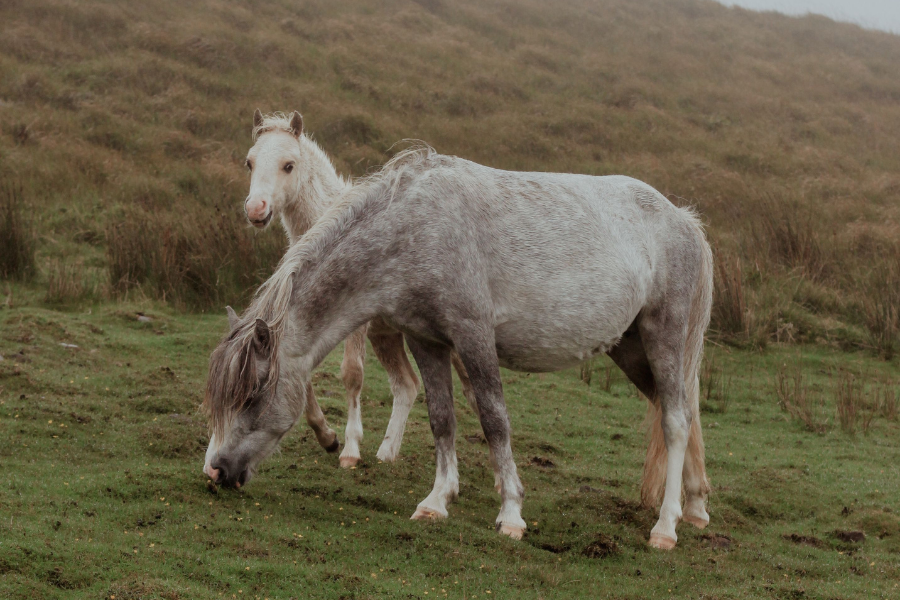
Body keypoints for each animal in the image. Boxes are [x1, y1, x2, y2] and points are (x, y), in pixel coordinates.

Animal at [202, 146, 713, 550]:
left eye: (252, 396)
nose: (215, 472)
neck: (414, 229)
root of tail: (684, 221)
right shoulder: (426, 341)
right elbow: (442, 419)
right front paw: (436, 501)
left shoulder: (473, 335)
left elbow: (494, 421)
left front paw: (511, 513)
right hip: (630, 351)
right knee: (683, 415)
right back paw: (695, 507)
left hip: (663, 338)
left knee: (674, 422)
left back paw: (665, 528)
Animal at [237, 110, 475, 468]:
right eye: (250, 162)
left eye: (289, 165)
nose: (256, 209)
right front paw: (328, 437)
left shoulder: (357, 327)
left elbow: (352, 374)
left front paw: (349, 450)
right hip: (387, 335)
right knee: (407, 385)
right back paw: (387, 453)